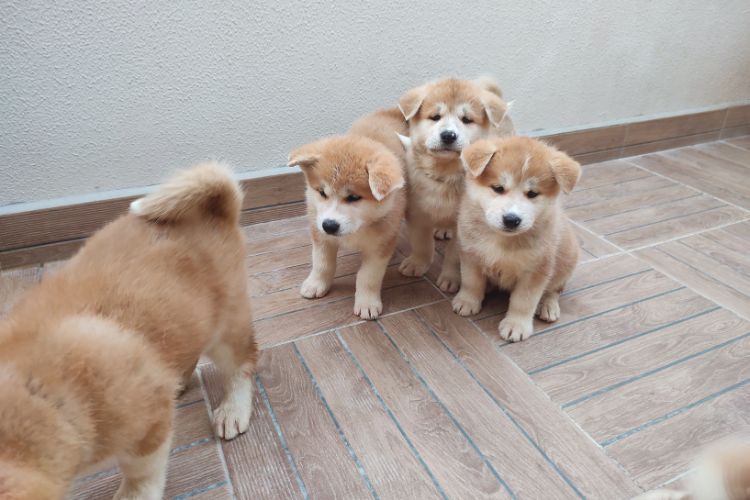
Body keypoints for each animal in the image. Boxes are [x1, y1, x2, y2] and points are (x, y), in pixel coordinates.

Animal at [0, 162, 258, 498]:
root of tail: (215, 210)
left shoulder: (149, 424)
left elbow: (141, 471)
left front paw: (136, 493)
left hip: (227, 330)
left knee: (242, 364)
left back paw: (233, 410)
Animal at [288, 109, 408, 320]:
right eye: (322, 192)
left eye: (353, 197)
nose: (329, 225)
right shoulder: (320, 236)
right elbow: (322, 263)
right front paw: (316, 284)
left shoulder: (380, 246)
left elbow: (368, 277)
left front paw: (367, 302)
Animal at [400, 76, 516, 292]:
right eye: (435, 117)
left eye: (466, 120)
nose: (448, 135)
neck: (445, 175)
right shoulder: (417, 212)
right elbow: (421, 244)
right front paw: (417, 264)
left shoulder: (463, 226)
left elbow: (454, 257)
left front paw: (450, 278)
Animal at [452, 135, 580, 342]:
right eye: (498, 188)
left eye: (532, 194)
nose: (511, 219)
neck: (503, 240)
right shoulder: (471, 255)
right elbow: (471, 282)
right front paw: (467, 301)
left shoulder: (536, 270)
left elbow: (524, 301)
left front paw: (516, 325)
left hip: (566, 261)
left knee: (554, 290)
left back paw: (548, 306)